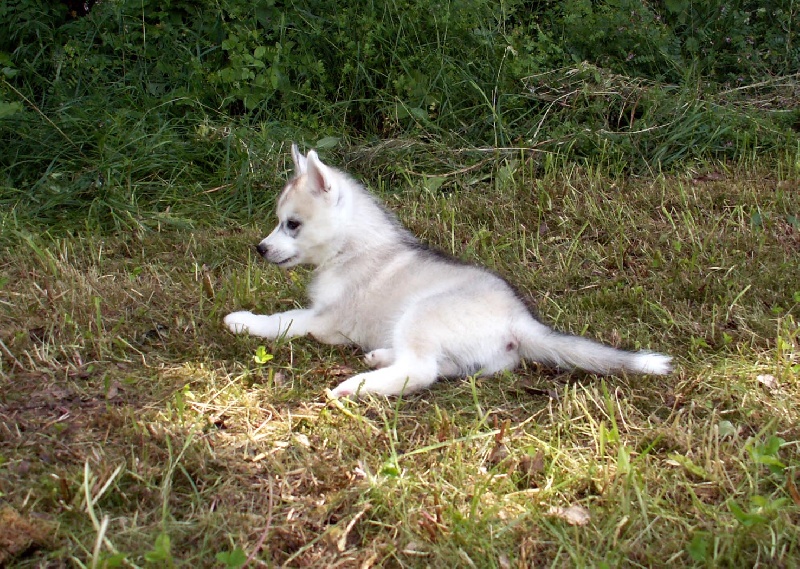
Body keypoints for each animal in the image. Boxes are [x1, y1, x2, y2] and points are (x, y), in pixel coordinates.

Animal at [223, 144, 668, 398]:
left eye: (292, 224)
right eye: (278, 222)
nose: (260, 248)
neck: (349, 247)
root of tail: (520, 320)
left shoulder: (325, 320)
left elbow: (281, 321)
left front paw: (242, 320)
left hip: (422, 313)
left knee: (420, 372)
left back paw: (355, 387)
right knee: (438, 368)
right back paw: (381, 357)